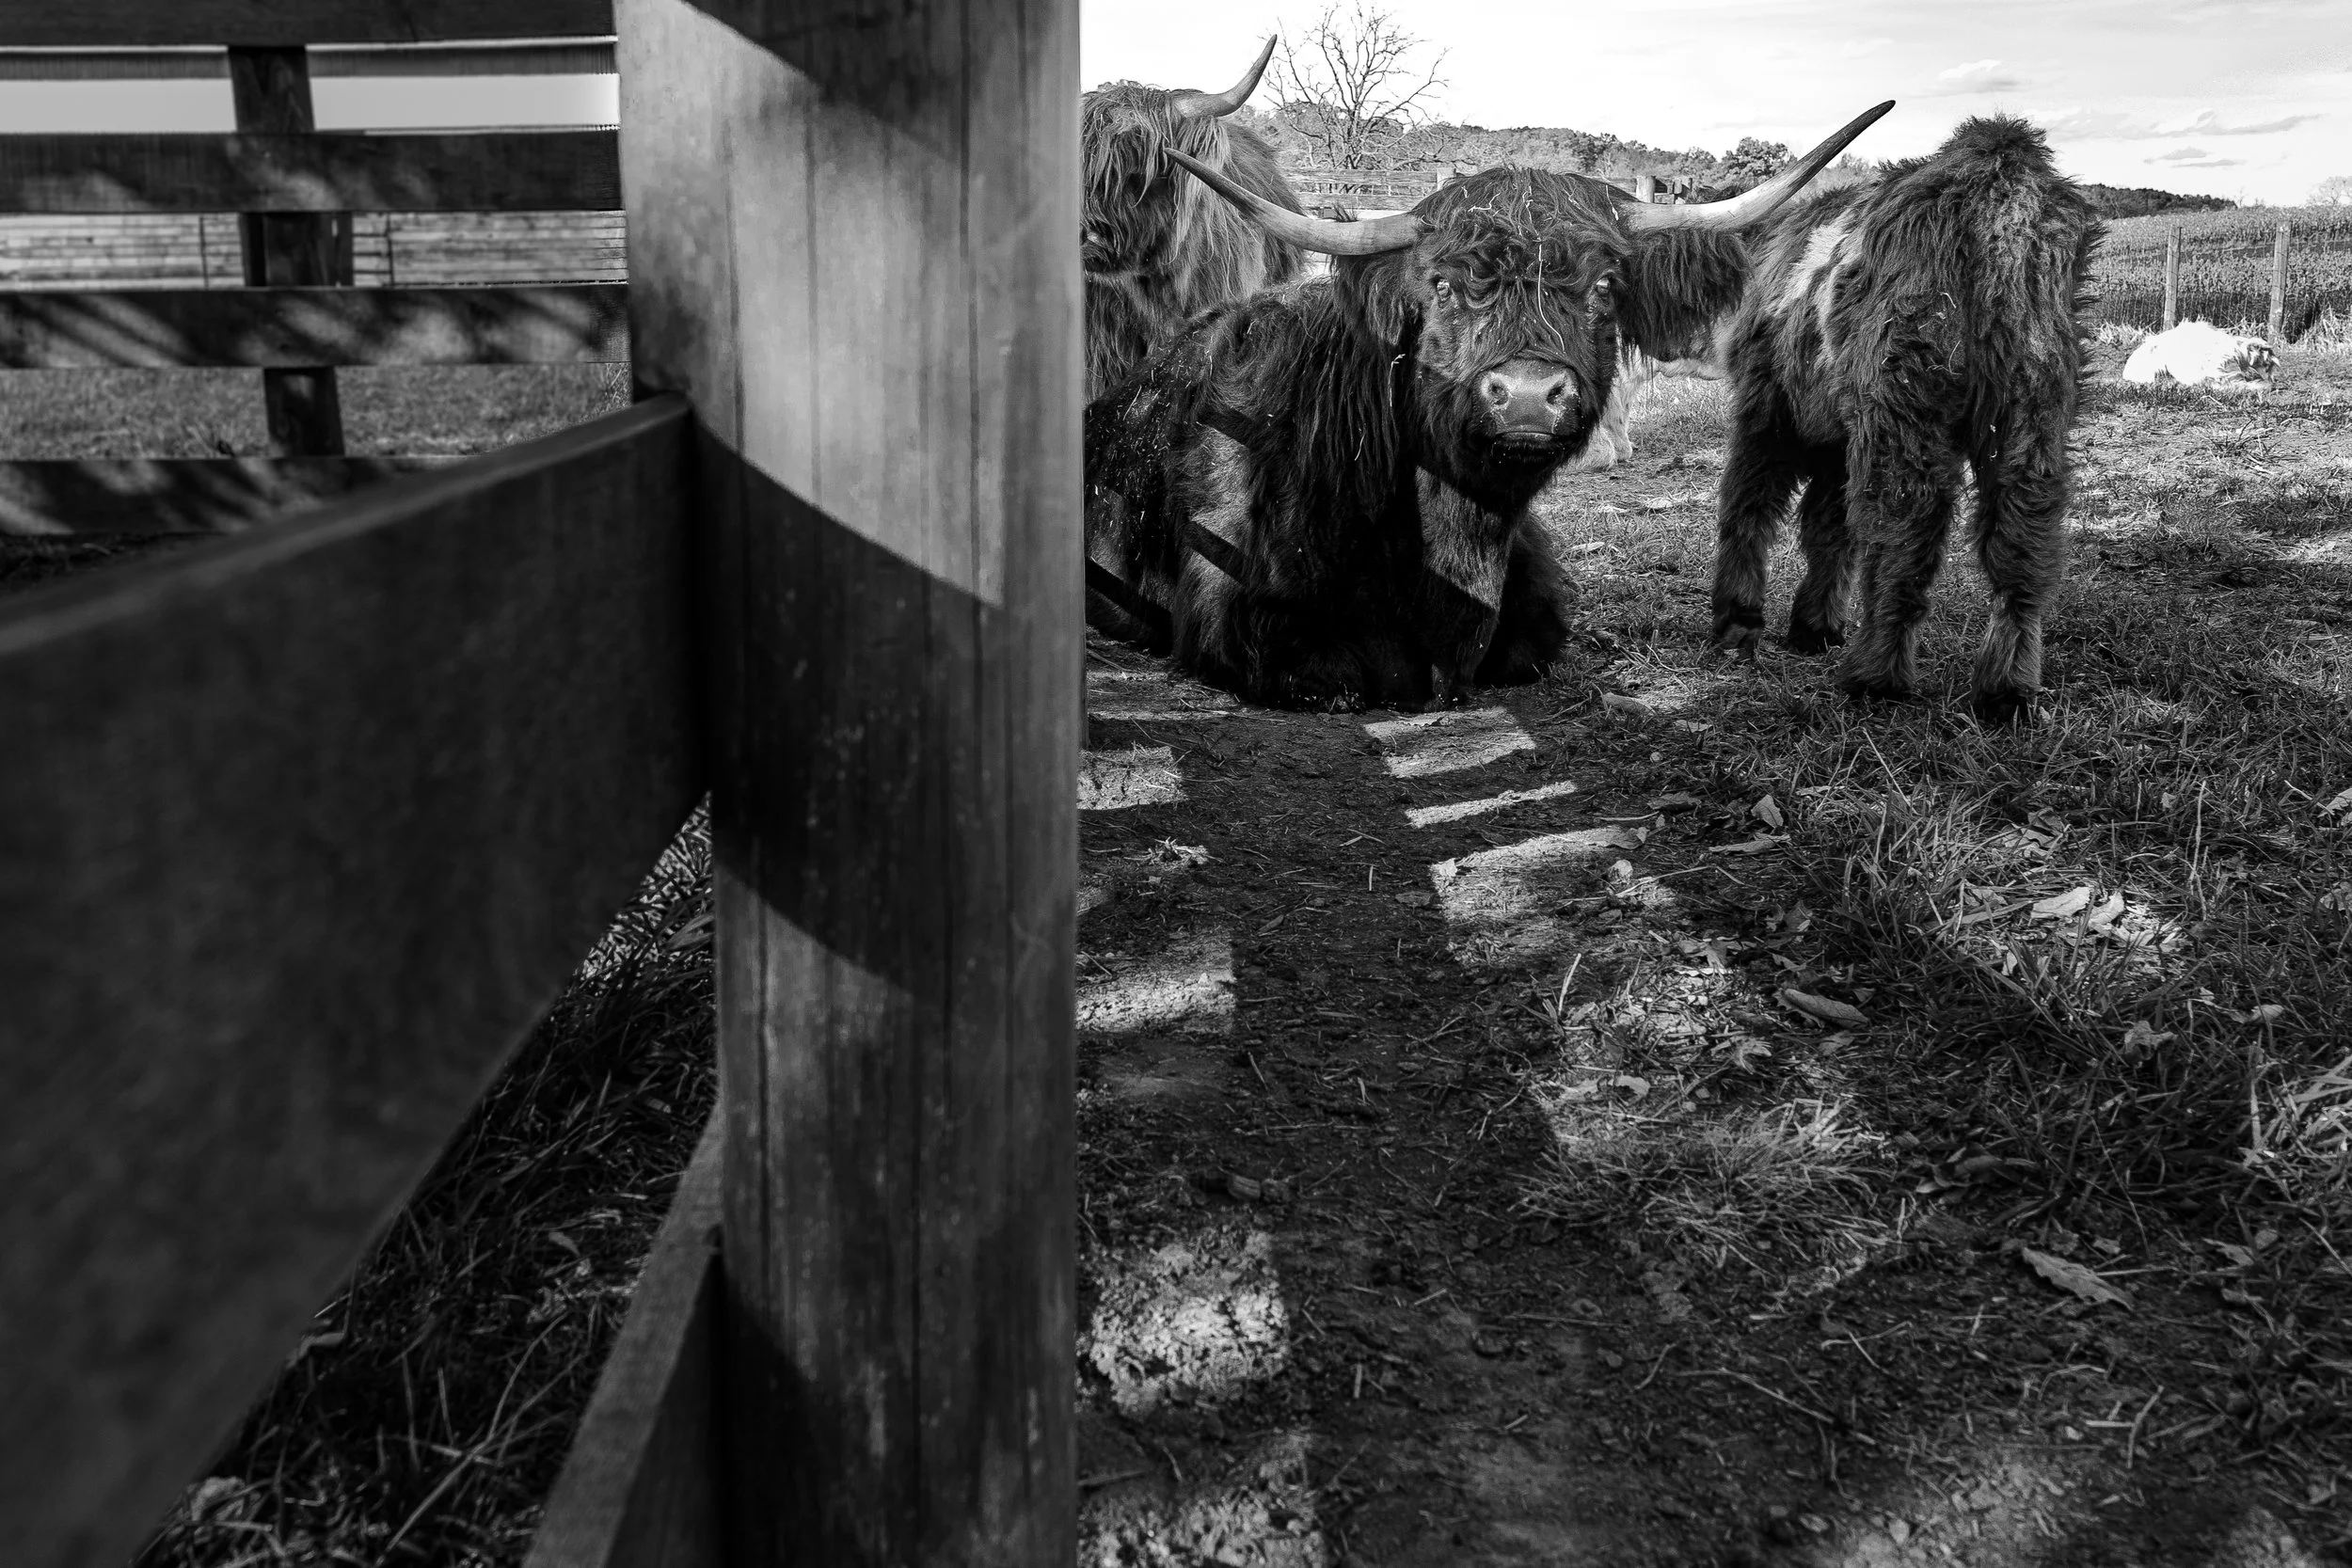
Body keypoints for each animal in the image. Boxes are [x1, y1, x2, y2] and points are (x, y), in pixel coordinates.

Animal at [1705, 116, 2102, 725]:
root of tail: (2001, 199)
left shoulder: (1769, 408)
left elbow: (1752, 502)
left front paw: (1739, 622)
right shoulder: (1837, 432)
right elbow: (1829, 524)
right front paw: (1814, 625)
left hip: (1902, 395)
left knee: (1905, 519)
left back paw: (1876, 676)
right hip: (2032, 403)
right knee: (2024, 530)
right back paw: (2007, 687)